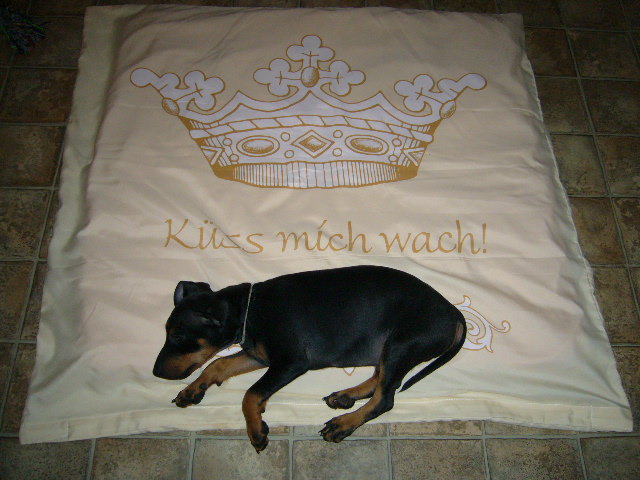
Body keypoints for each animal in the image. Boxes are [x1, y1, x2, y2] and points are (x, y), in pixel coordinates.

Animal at [153, 265, 466, 452]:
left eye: (178, 335)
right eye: (167, 331)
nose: (156, 372)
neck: (250, 310)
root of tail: (453, 312)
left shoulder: (291, 361)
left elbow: (250, 394)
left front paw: (256, 429)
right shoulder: (259, 355)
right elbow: (219, 364)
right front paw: (191, 391)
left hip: (402, 344)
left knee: (385, 398)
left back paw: (343, 424)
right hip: (388, 348)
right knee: (379, 380)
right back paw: (345, 397)